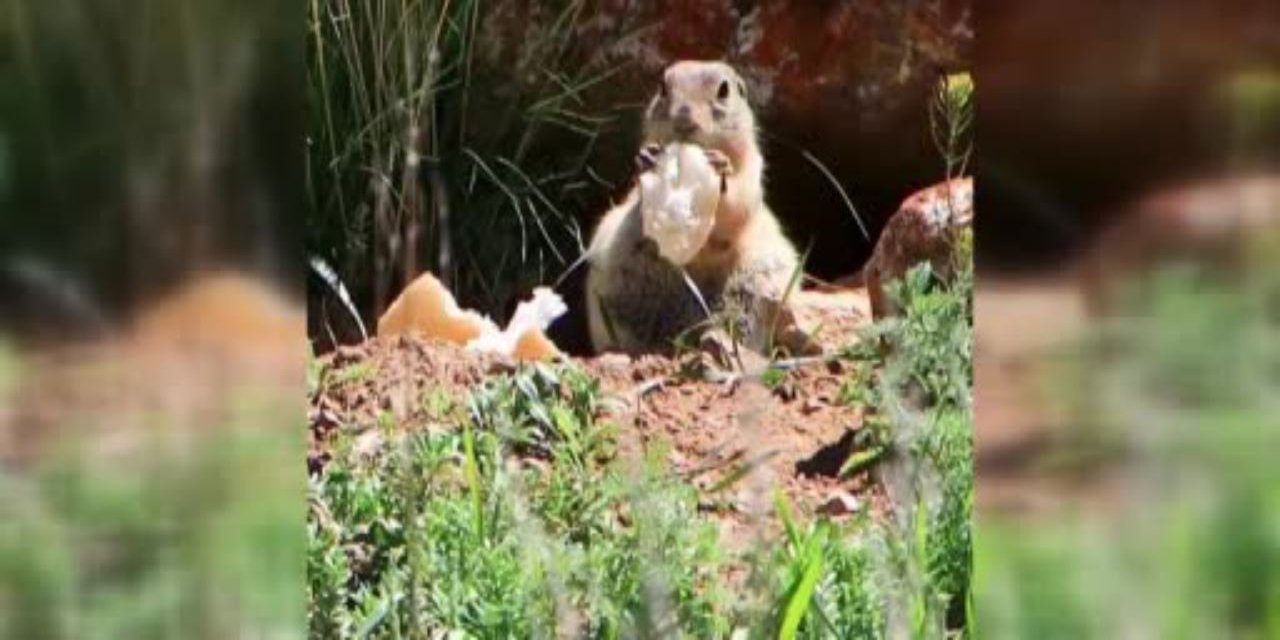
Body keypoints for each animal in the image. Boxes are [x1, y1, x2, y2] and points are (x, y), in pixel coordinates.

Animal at [583, 60, 808, 358]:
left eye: (724, 90)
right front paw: (646, 159)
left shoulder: (752, 170)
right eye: (662, 87)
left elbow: (738, 204)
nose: (683, 120)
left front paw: (719, 168)